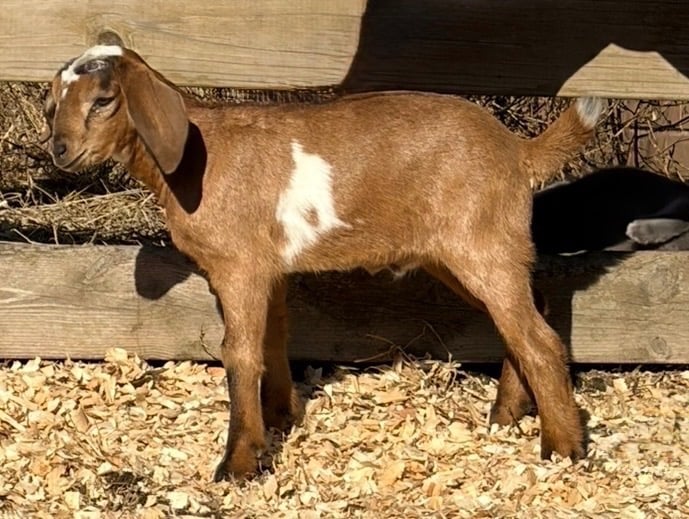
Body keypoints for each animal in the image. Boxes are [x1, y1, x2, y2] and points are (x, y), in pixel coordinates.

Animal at [44, 45, 603, 481]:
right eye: (54, 104)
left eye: (104, 100)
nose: (60, 150)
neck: (195, 158)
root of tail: (517, 150)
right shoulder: (268, 269)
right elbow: (272, 340)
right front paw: (278, 419)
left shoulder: (239, 267)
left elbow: (238, 354)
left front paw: (239, 463)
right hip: (463, 251)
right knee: (530, 313)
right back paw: (509, 411)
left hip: (479, 242)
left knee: (539, 339)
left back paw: (563, 447)